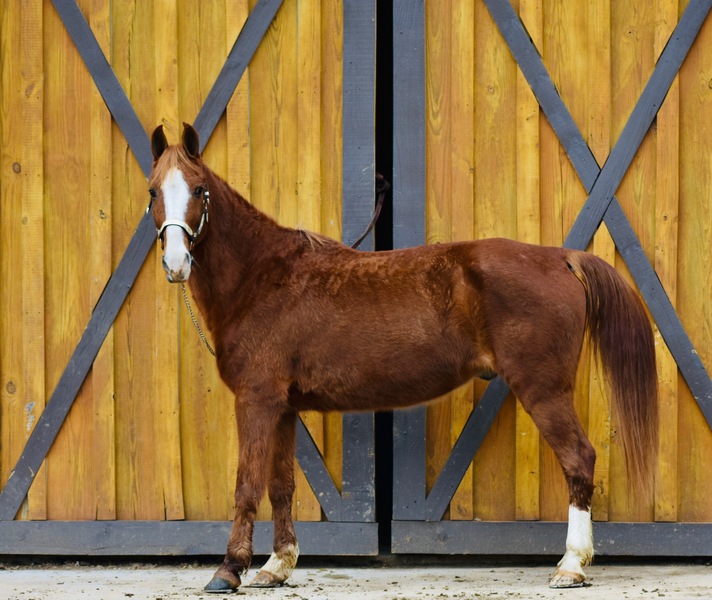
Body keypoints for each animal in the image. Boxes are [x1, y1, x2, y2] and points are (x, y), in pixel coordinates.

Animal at [147, 123, 658, 592]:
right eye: (153, 190)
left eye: (198, 189)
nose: (176, 264)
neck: (262, 276)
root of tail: (560, 257)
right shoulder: (283, 407)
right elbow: (281, 485)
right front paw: (277, 567)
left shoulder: (255, 400)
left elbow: (246, 484)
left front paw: (229, 570)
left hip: (544, 389)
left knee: (579, 458)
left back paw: (571, 566)